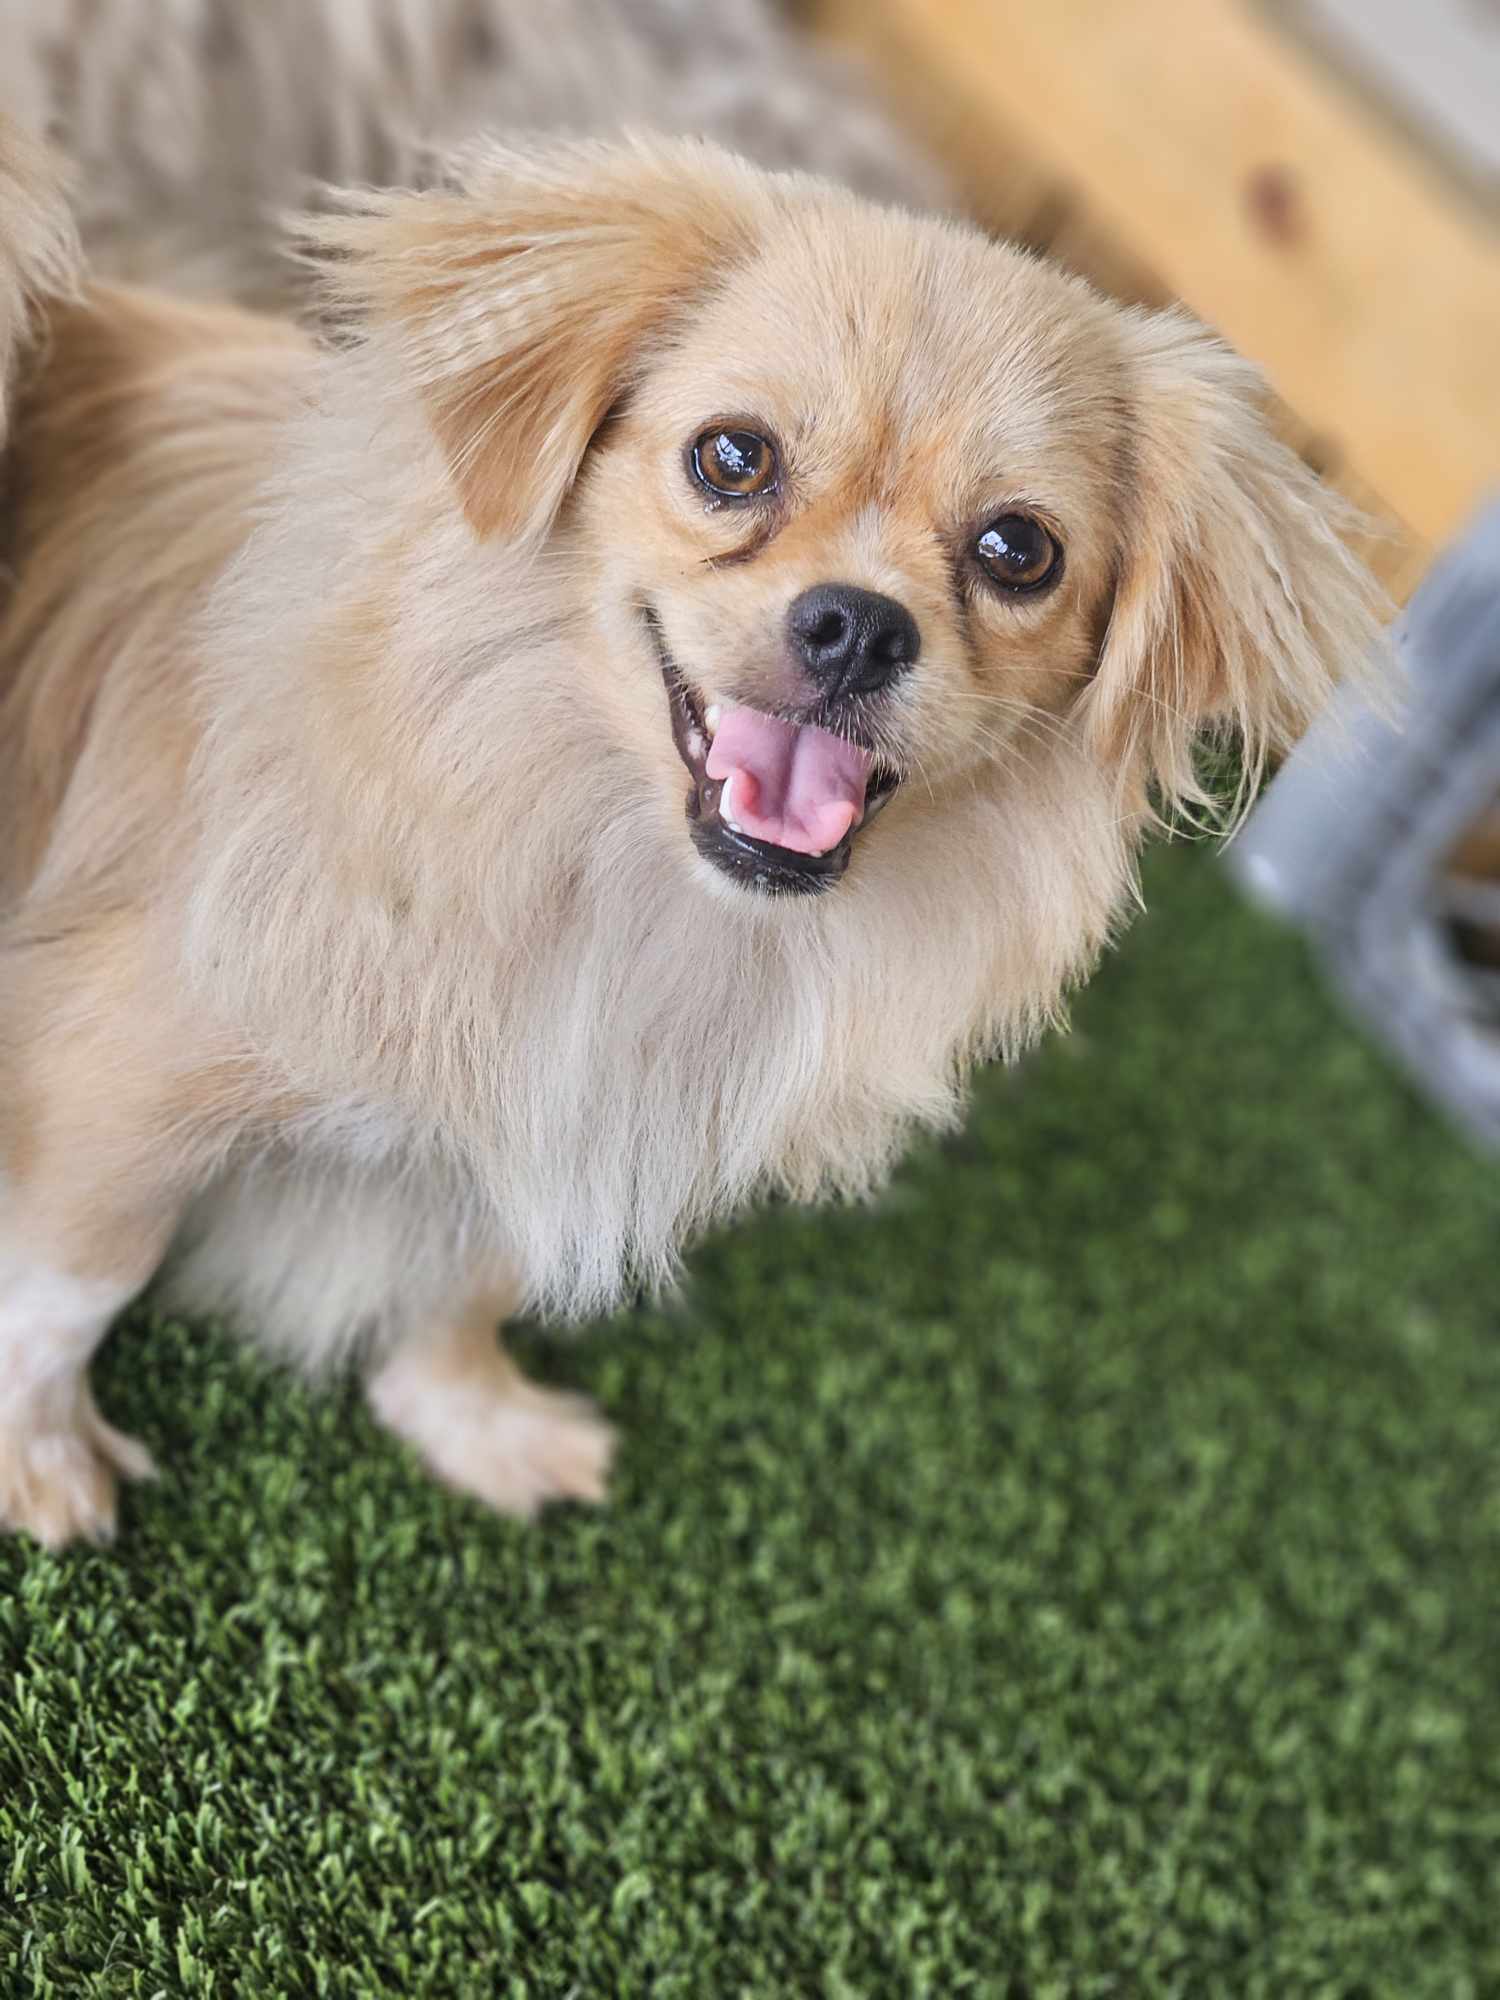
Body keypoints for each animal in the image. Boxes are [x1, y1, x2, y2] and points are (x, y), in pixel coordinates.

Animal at [0, 105, 1384, 1544]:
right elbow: (71, 1284)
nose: (860, 623)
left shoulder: (560, 1091)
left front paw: (472, 1420)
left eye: (1020, 551)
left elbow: (465, 1281)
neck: (624, 877)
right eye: (733, 458)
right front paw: (39, 1456)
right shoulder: (113, 1057)